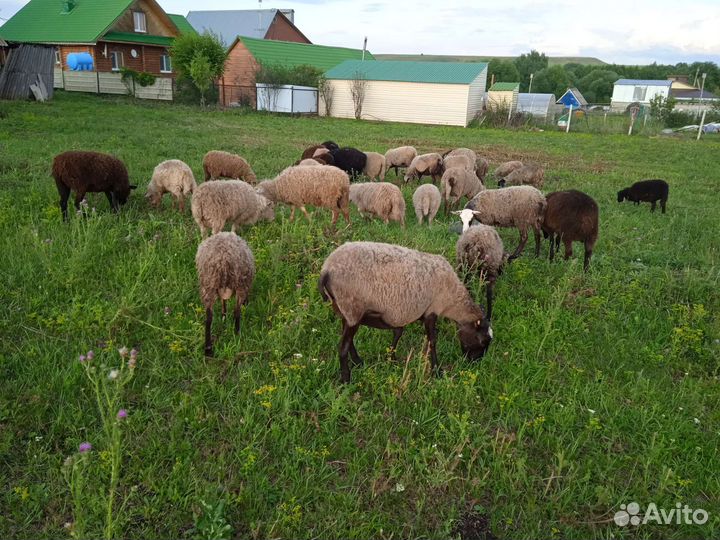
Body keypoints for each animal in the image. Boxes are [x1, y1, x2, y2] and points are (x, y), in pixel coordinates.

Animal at [318, 241, 493, 383]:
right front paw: (436, 370)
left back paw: (358, 362)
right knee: (343, 347)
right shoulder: (432, 311)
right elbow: (432, 341)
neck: (452, 300)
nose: (474, 363)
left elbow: (398, 333)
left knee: (348, 341)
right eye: (483, 341)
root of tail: (326, 269)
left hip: (345, 309)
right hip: (352, 307)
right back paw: (346, 379)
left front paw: (392, 359)